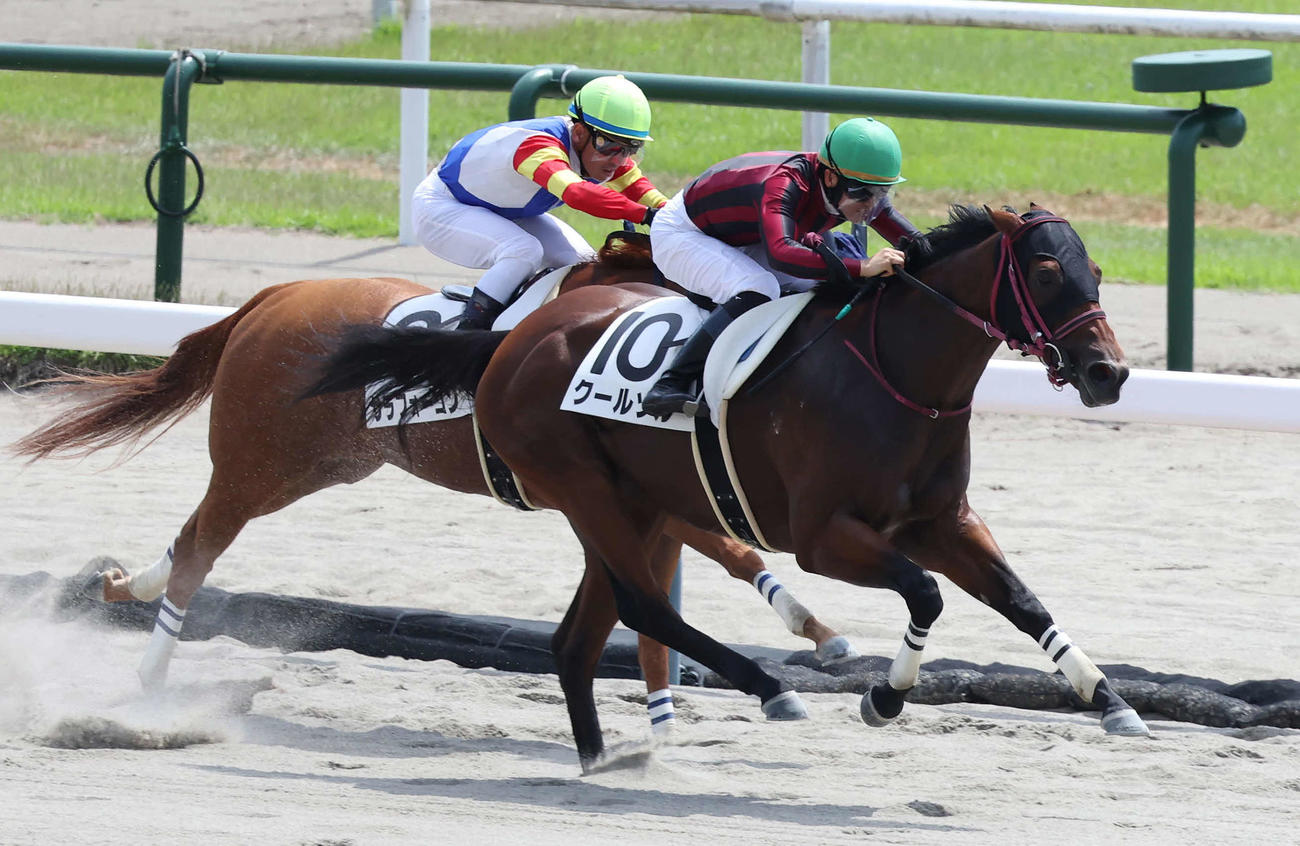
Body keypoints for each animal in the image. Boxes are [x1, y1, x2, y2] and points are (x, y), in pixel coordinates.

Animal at [9, 232, 856, 733]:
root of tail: (274, 298)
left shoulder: (634, 489)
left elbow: (720, 559)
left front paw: (802, 636)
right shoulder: (601, 483)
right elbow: (691, 567)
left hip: (320, 464)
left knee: (190, 539)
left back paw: (123, 584)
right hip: (262, 461)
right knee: (200, 545)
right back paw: (151, 671)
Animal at [308, 204, 1149, 770]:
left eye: (1099, 272)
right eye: (1047, 272)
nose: (1107, 373)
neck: (897, 372)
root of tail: (511, 337)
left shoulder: (940, 521)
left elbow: (1021, 600)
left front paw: (1111, 700)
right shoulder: (822, 538)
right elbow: (926, 594)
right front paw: (884, 696)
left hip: (634, 503)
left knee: (581, 635)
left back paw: (601, 763)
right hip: (584, 489)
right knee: (642, 606)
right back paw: (769, 687)